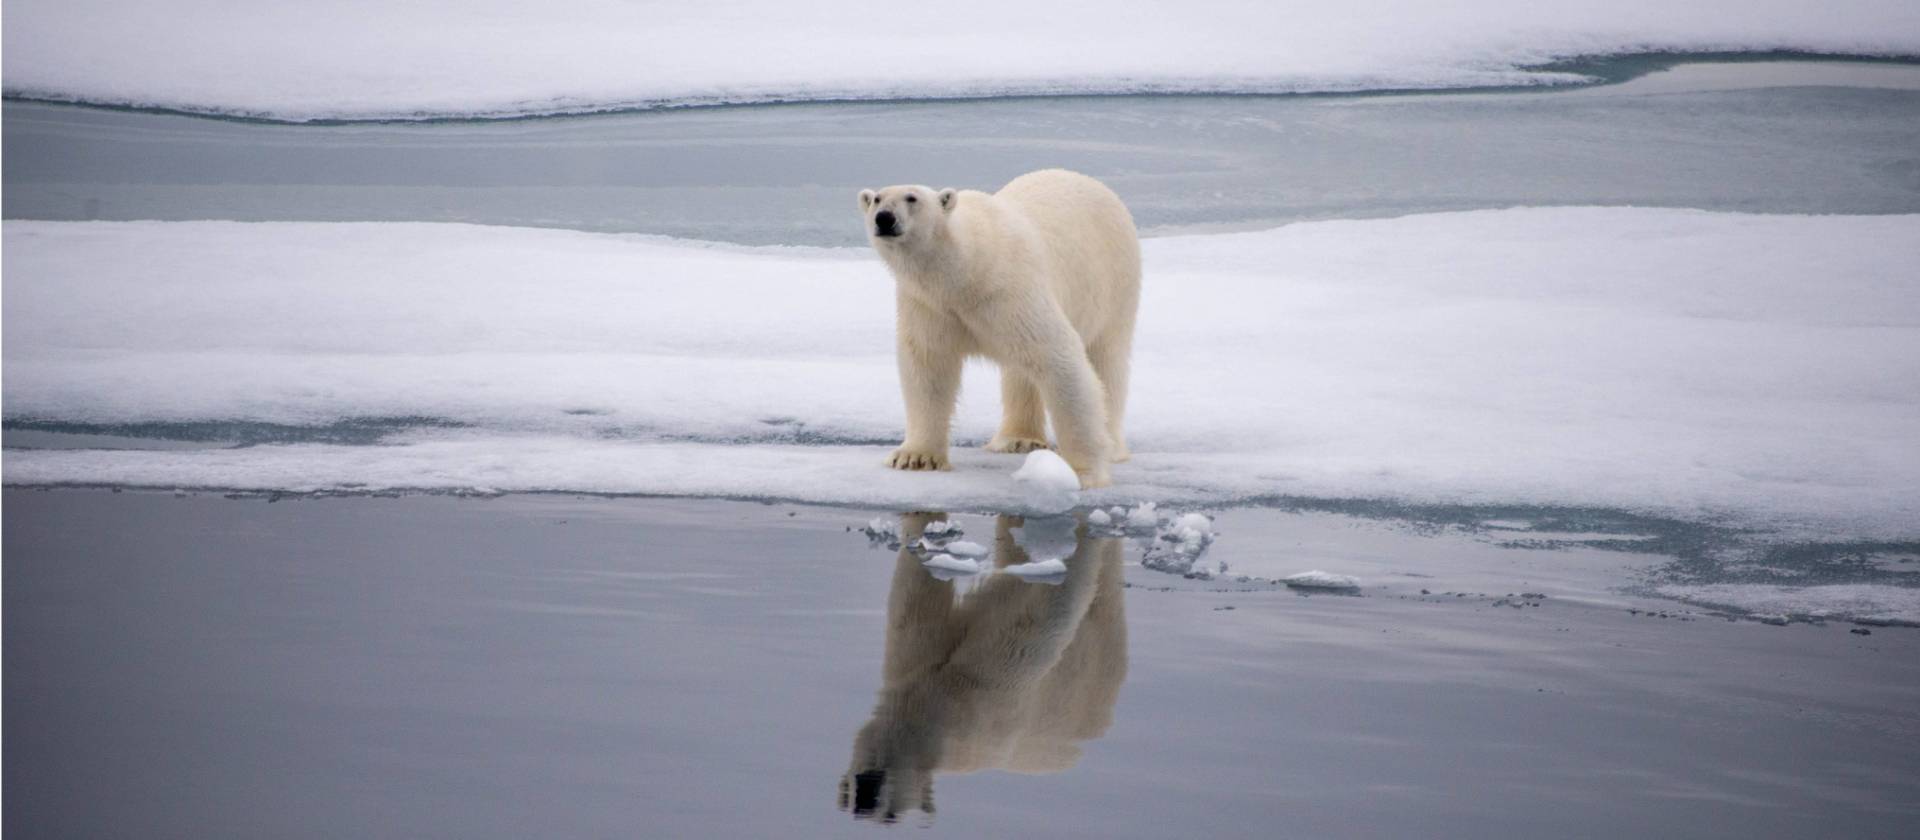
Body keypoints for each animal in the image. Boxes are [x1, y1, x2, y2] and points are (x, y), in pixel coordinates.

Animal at [839, 512, 1128, 822]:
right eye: (850, 794)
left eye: (891, 815)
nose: (865, 796)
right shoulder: (916, 660)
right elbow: (915, 600)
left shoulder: (990, 692)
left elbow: (1039, 614)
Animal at [859, 169, 1141, 489]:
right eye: (877, 198)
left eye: (912, 197)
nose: (884, 218)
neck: (967, 272)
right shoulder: (930, 305)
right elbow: (928, 366)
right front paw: (915, 458)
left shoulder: (1010, 290)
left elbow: (1059, 360)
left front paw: (1082, 473)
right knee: (1020, 373)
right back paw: (1017, 439)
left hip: (1114, 282)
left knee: (1107, 360)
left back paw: (1113, 446)